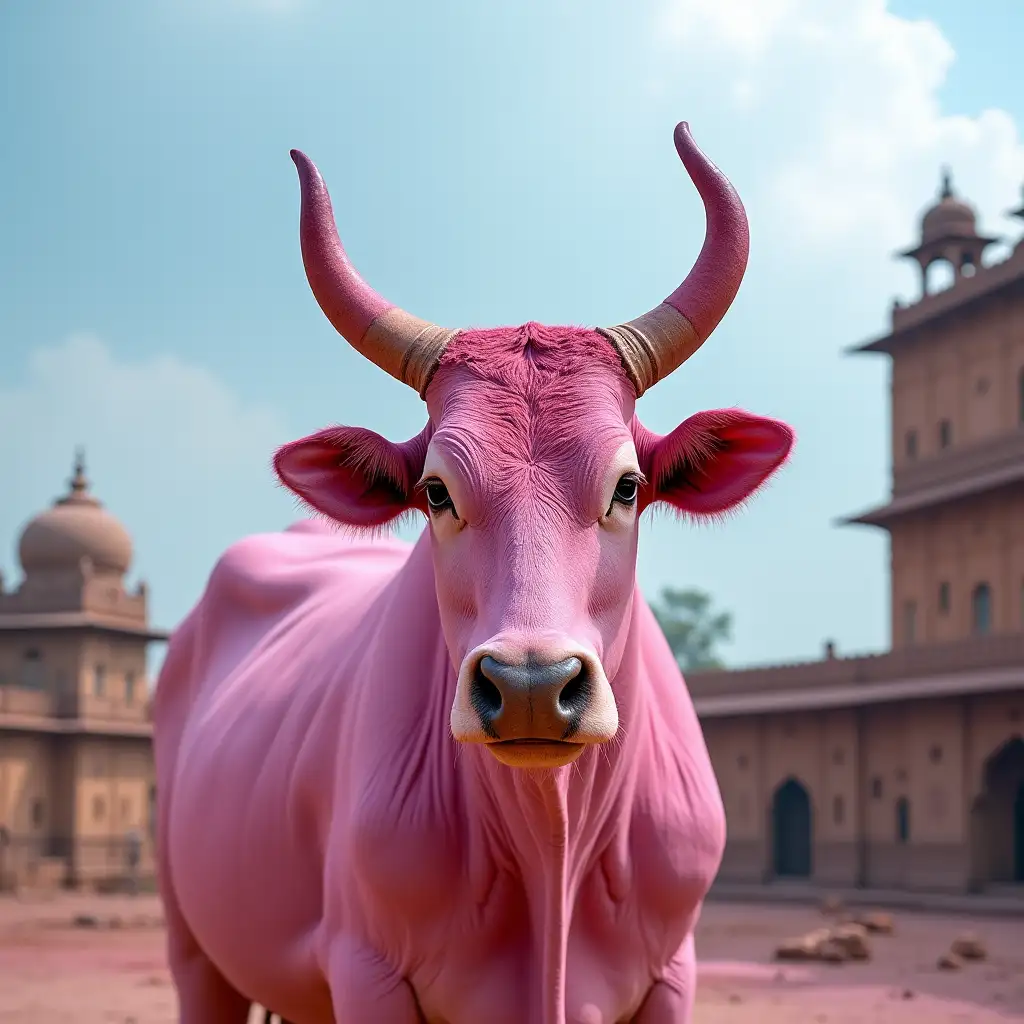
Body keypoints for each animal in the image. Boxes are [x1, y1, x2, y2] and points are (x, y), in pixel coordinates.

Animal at [154, 120, 794, 1024]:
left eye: (628, 485)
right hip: (195, 947)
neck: (549, 848)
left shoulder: (675, 973)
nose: (530, 684)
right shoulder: (367, 971)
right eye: (436, 491)